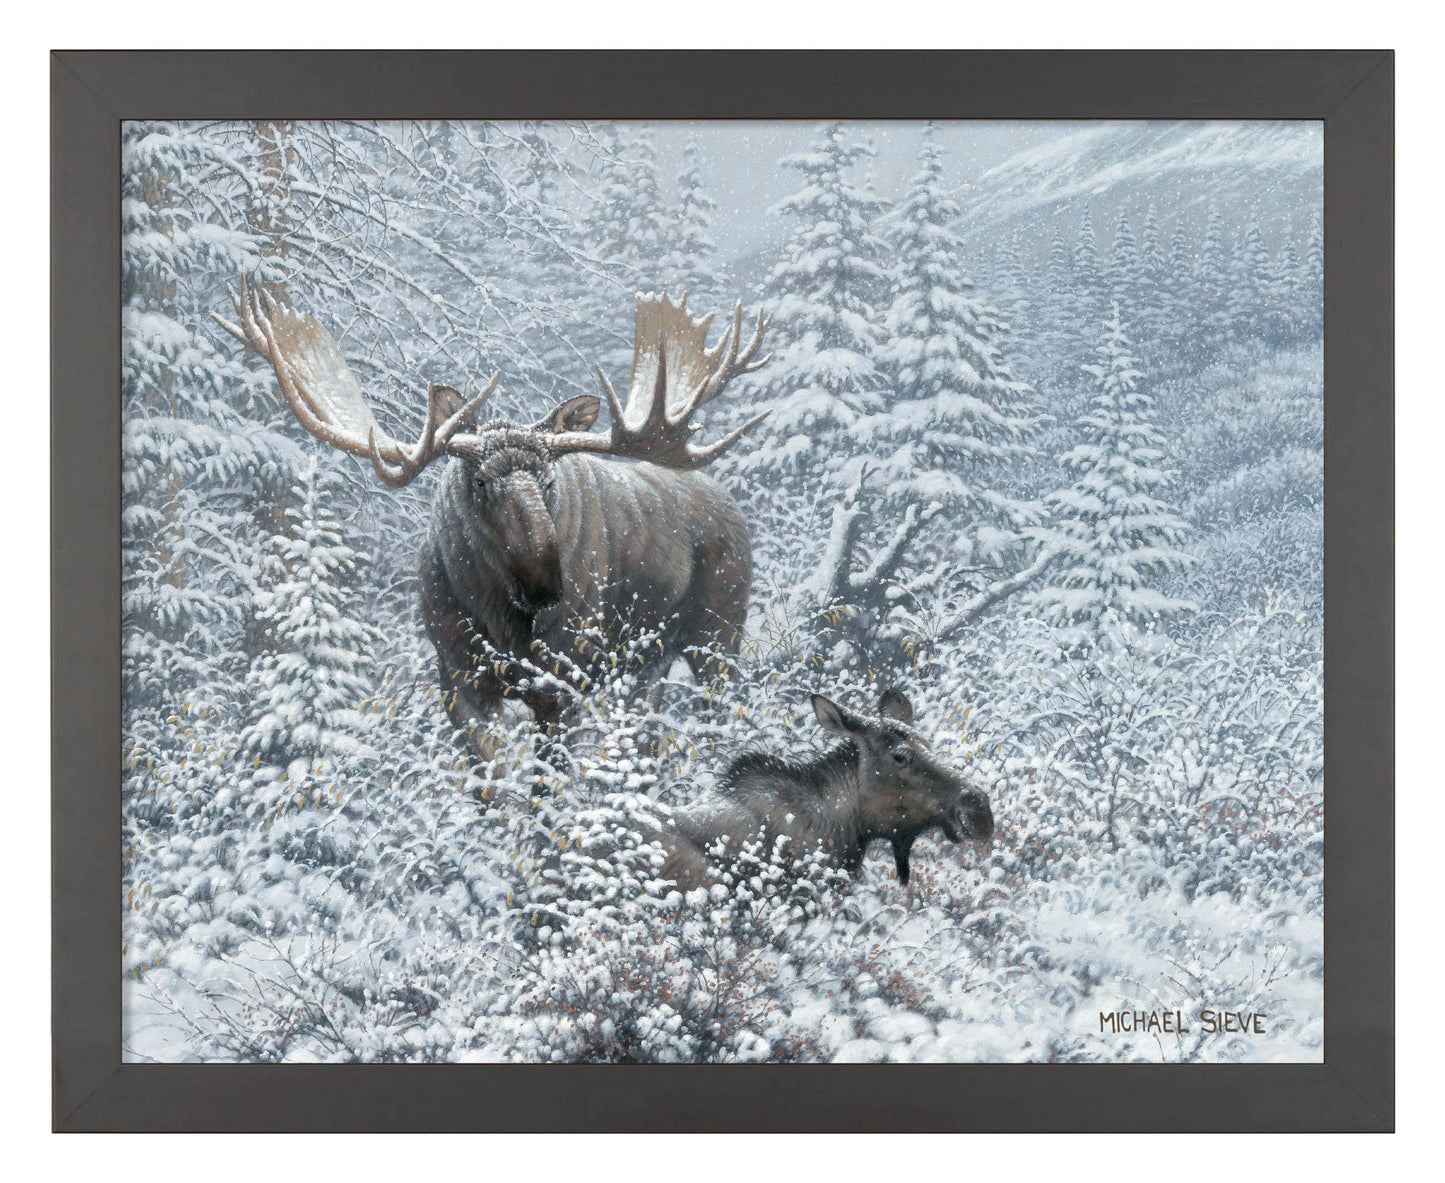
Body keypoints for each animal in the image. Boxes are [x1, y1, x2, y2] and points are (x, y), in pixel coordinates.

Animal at [215, 278, 772, 747]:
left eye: (549, 480)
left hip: (719, 634)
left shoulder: (563, 682)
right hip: (647, 665)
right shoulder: (457, 679)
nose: (547, 584)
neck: (498, 619)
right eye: (480, 480)